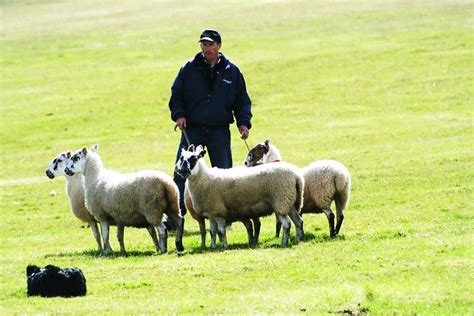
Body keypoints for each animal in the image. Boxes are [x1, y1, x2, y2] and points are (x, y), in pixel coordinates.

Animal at [174, 144, 304, 249]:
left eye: (194, 158)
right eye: (181, 158)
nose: (182, 170)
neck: (204, 178)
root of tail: (296, 176)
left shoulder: (218, 211)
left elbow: (221, 231)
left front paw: (225, 246)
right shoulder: (211, 213)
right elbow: (212, 232)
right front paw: (212, 246)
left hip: (281, 201)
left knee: (287, 225)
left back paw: (284, 243)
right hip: (289, 202)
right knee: (298, 221)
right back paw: (297, 239)